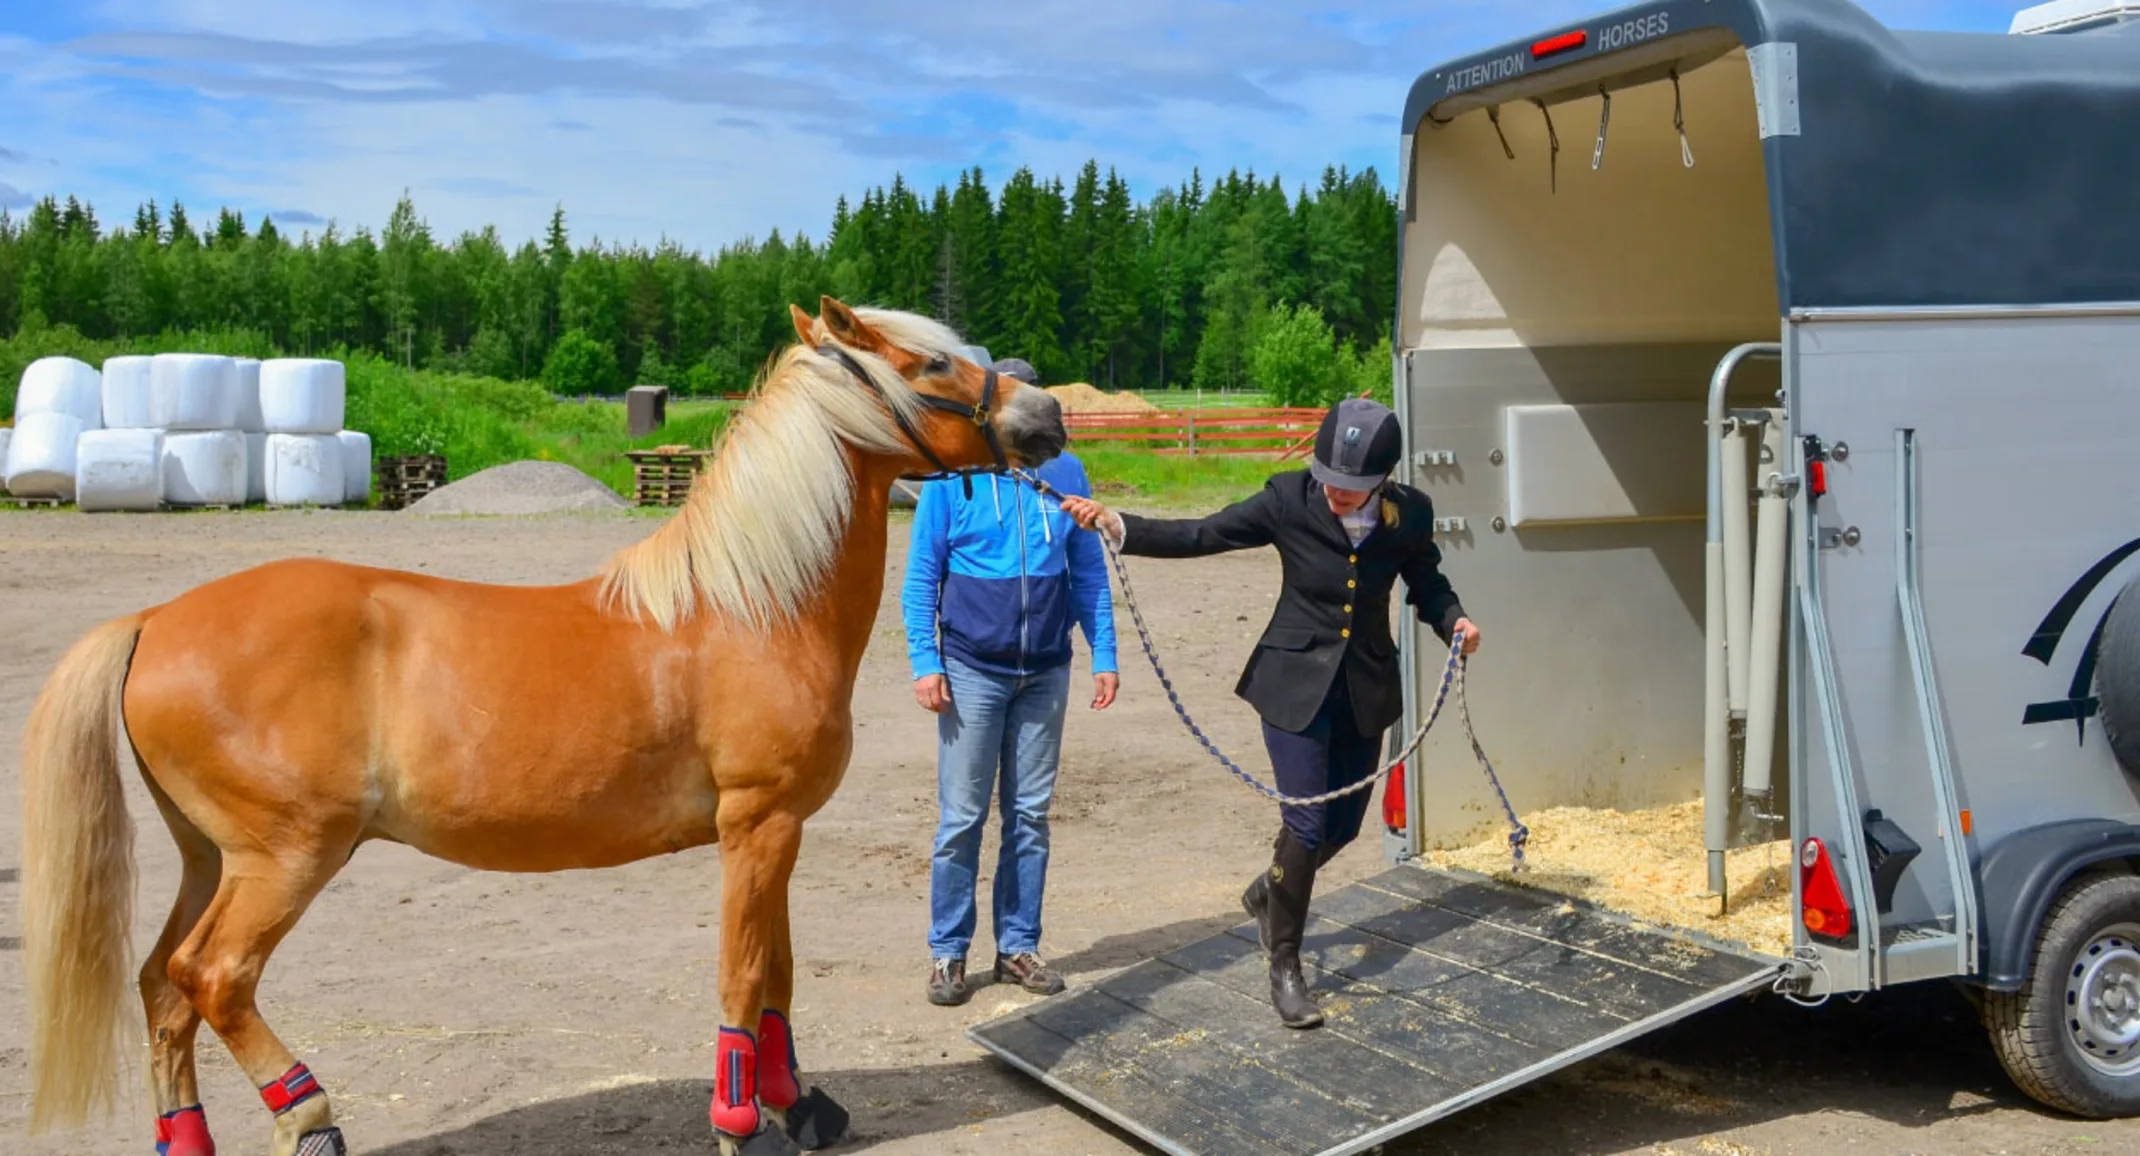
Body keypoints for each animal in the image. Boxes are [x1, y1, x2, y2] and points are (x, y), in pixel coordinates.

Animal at [16, 297, 1070, 1156]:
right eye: (930, 364)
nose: (1047, 418)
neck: (755, 607)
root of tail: (154, 621)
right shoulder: (757, 824)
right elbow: (742, 979)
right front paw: (740, 1126)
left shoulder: (776, 832)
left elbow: (777, 974)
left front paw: (797, 1105)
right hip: (286, 858)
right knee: (214, 977)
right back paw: (310, 1118)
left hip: (210, 859)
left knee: (162, 989)